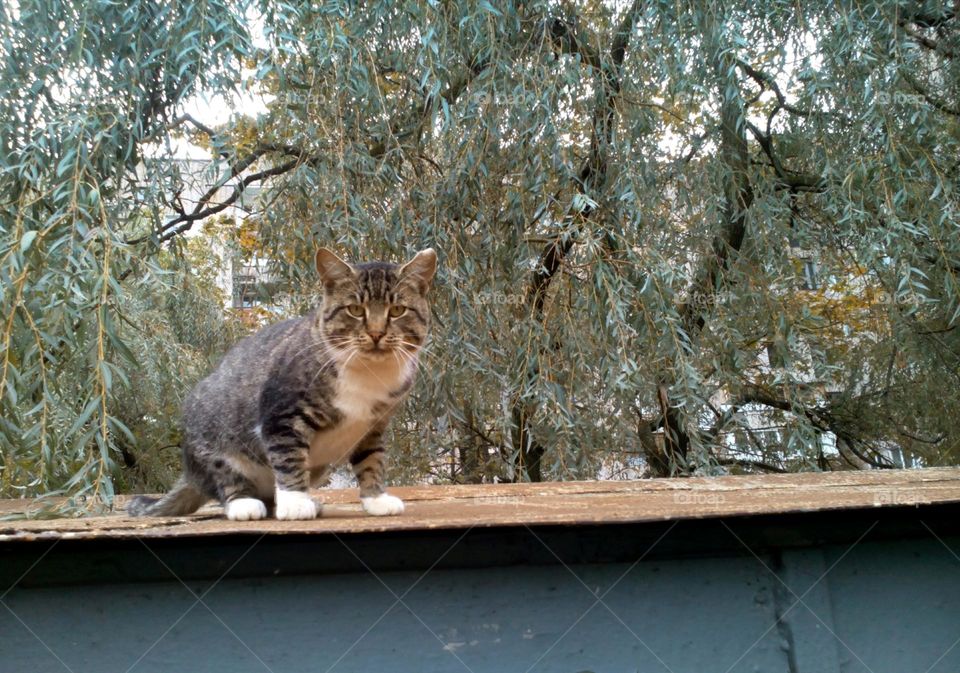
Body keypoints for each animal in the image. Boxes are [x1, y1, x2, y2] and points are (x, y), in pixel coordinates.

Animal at [127, 247, 436, 520]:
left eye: (397, 310)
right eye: (355, 309)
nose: (376, 333)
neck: (368, 373)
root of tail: (190, 473)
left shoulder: (373, 426)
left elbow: (372, 461)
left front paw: (376, 499)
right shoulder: (282, 416)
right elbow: (289, 460)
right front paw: (296, 503)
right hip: (211, 438)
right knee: (227, 479)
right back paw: (244, 503)